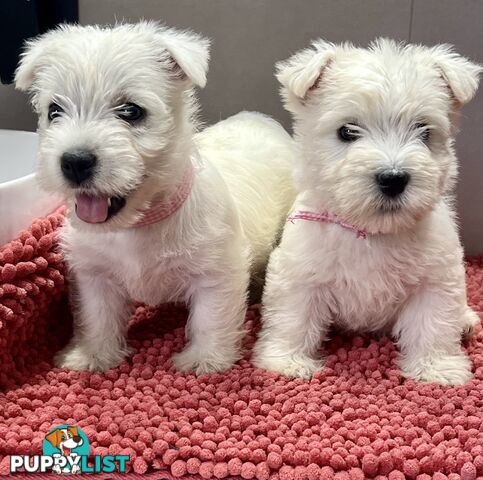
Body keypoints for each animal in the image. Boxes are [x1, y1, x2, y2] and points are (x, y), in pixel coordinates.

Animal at [15, 22, 294, 376]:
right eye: (54, 111)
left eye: (131, 111)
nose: (75, 162)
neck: (138, 223)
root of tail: (260, 118)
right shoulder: (94, 276)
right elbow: (97, 317)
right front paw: (92, 355)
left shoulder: (216, 272)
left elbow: (210, 318)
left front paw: (205, 360)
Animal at [255, 40, 482, 386]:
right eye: (347, 131)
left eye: (424, 131)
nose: (393, 178)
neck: (372, 232)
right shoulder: (300, 274)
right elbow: (293, 318)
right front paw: (287, 362)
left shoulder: (435, 280)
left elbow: (434, 324)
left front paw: (436, 368)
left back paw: (466, 320)